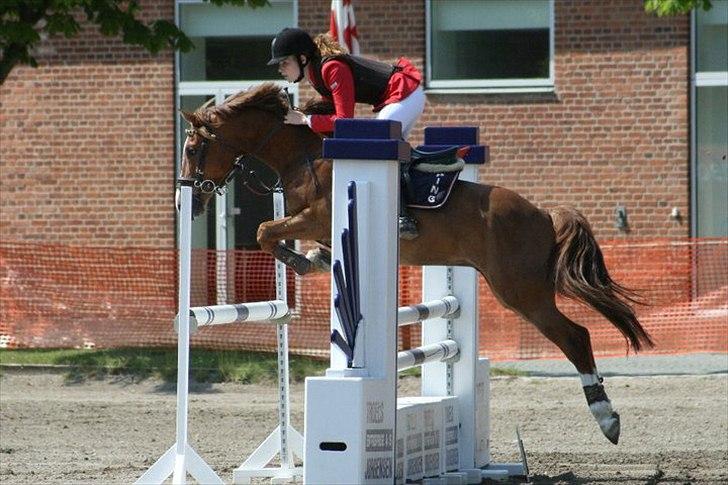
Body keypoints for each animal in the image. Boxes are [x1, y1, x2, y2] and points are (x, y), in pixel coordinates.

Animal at [178, 82, 656, 442]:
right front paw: (316, 258)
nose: (189, 199)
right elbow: (287, 238)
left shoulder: (317, 215)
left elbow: (265, 232)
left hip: (521, 293)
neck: (304, 155)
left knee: (575, 337)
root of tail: (544, 214)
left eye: (193, 148)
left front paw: (300, 261)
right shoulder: (316, 222)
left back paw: (607, 418)